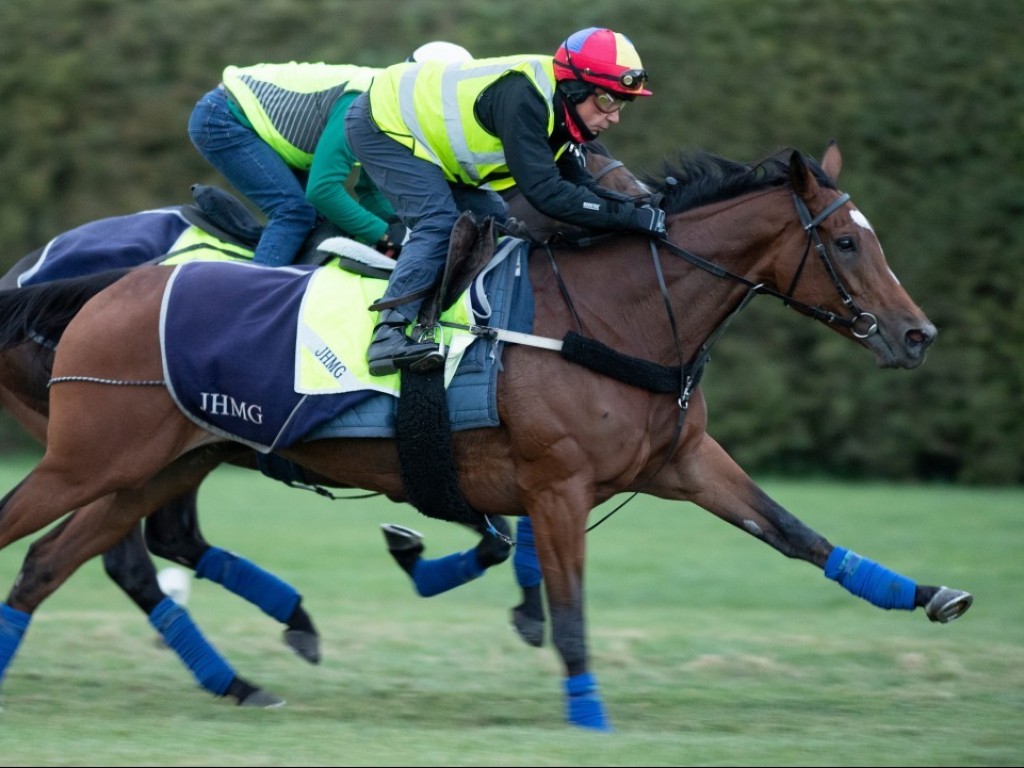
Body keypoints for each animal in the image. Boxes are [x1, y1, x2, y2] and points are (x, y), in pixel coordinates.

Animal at [0, 141, 966, 729]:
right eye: (847, 243)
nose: (918, 334)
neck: (612, 316)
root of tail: (100, 284)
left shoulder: (683, 461)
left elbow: (796, 532)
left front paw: (924, 594)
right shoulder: (557, 486)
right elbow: (568, 607)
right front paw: (589, 714)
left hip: (159, 465)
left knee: (60, 560)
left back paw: (245, 667)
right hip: (89, 457)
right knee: (63, 540)